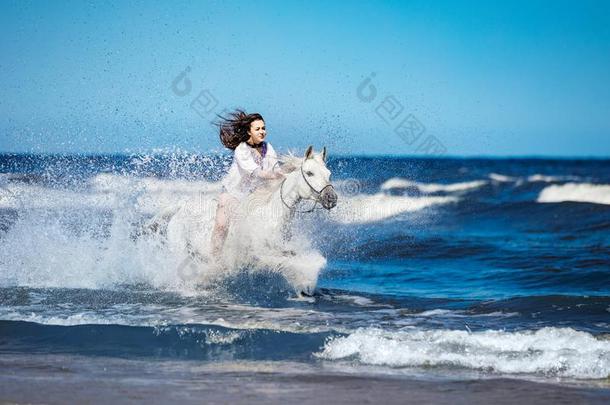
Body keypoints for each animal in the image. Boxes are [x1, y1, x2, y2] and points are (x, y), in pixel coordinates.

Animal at [147, 144, 338, 294]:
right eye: (309, 173)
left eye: (328, 173)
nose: (331, 198)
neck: (271, 217)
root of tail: (180, 207)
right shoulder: (260, 254)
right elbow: (287, 263)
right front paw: (304, 284)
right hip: (180, 248)